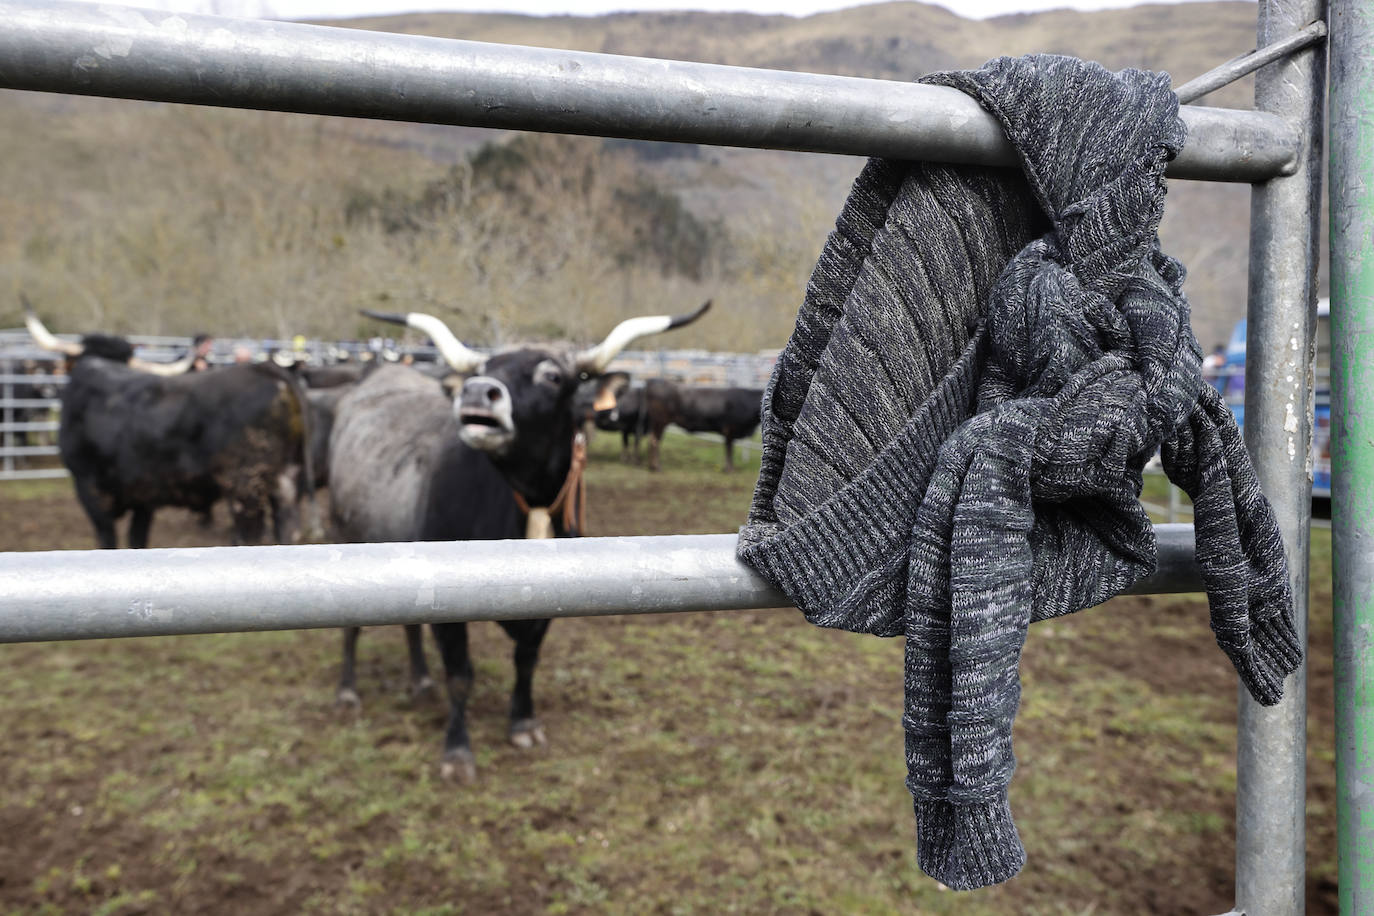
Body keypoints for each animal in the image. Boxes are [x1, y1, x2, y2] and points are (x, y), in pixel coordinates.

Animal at [25, 307, 314, 552]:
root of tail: (268, 369)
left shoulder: (90, 491)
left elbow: (109, 541)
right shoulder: (143, 496)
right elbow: (137, 540)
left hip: (246, 485)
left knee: (249, 536)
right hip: (286, 478)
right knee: (287, 529)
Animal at [329, 302, 708, 780]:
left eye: (552, 376)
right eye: (484, 369)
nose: (476, 391)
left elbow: (527, 661)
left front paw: (523, 723)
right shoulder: (445, 608)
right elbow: (460, 676)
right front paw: (457, 751)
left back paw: (420, 680)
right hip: (345, 536)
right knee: (351, 626)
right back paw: (347, 690)